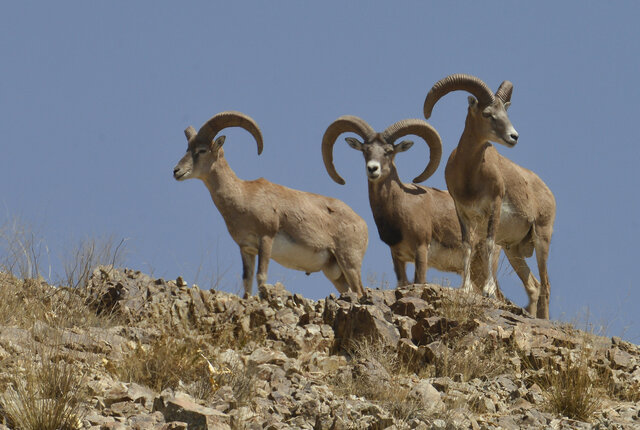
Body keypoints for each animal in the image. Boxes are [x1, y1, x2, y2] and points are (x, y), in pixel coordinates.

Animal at [172, 111, 368, 298]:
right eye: (188, 148)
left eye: (202, 150)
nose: (176, 171)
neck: (243, 196)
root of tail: (362, 224)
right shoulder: (246, 249)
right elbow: (247, 280)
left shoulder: (266, 239)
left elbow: (261, 276)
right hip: (335, 274)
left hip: (349, 262)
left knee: (359, 291)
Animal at [322, 115, 502, 296]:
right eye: (365, 150)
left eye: (389, 151)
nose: (372, 169)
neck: (400, 204)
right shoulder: (397, 256)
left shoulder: (421, 250)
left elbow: (419, 280)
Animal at [424, 74, 556, 318]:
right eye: (487, 114)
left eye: (506, 113)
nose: (514, 137)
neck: (470, 175)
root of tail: (547, 193)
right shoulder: (463, 212)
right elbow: (467, 246)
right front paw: (465, 289)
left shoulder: (493, 208)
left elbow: (487, 244)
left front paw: (488, 291)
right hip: (514, 251)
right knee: (534, 285)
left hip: (542, 239)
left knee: (546, 285)